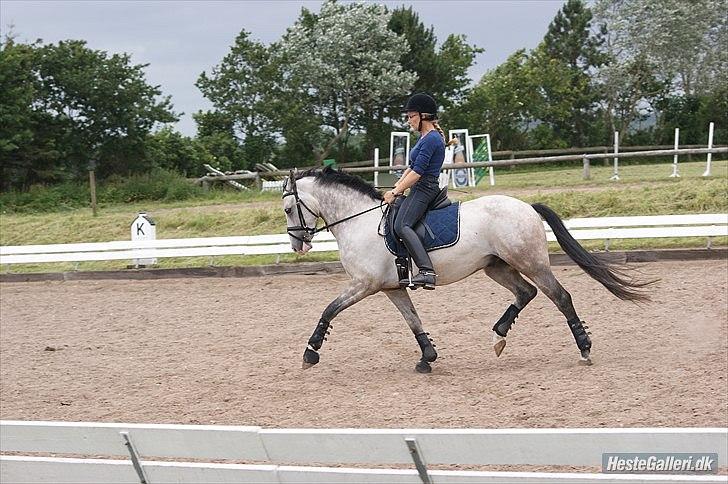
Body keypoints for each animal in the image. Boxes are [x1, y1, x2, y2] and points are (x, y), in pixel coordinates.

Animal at [282, 168, 652, 372]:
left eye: (288, 209)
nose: (298, 245)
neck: (358, 221)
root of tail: (526, 206)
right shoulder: (390, 287)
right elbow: (413, 320)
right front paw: (427, 356)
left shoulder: (364, 284)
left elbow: (329, 310)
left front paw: (310, 352)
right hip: (495, 267)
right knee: (526, 292)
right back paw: (499, 336)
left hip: (529, 262)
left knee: (560, 296)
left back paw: (584, 349)